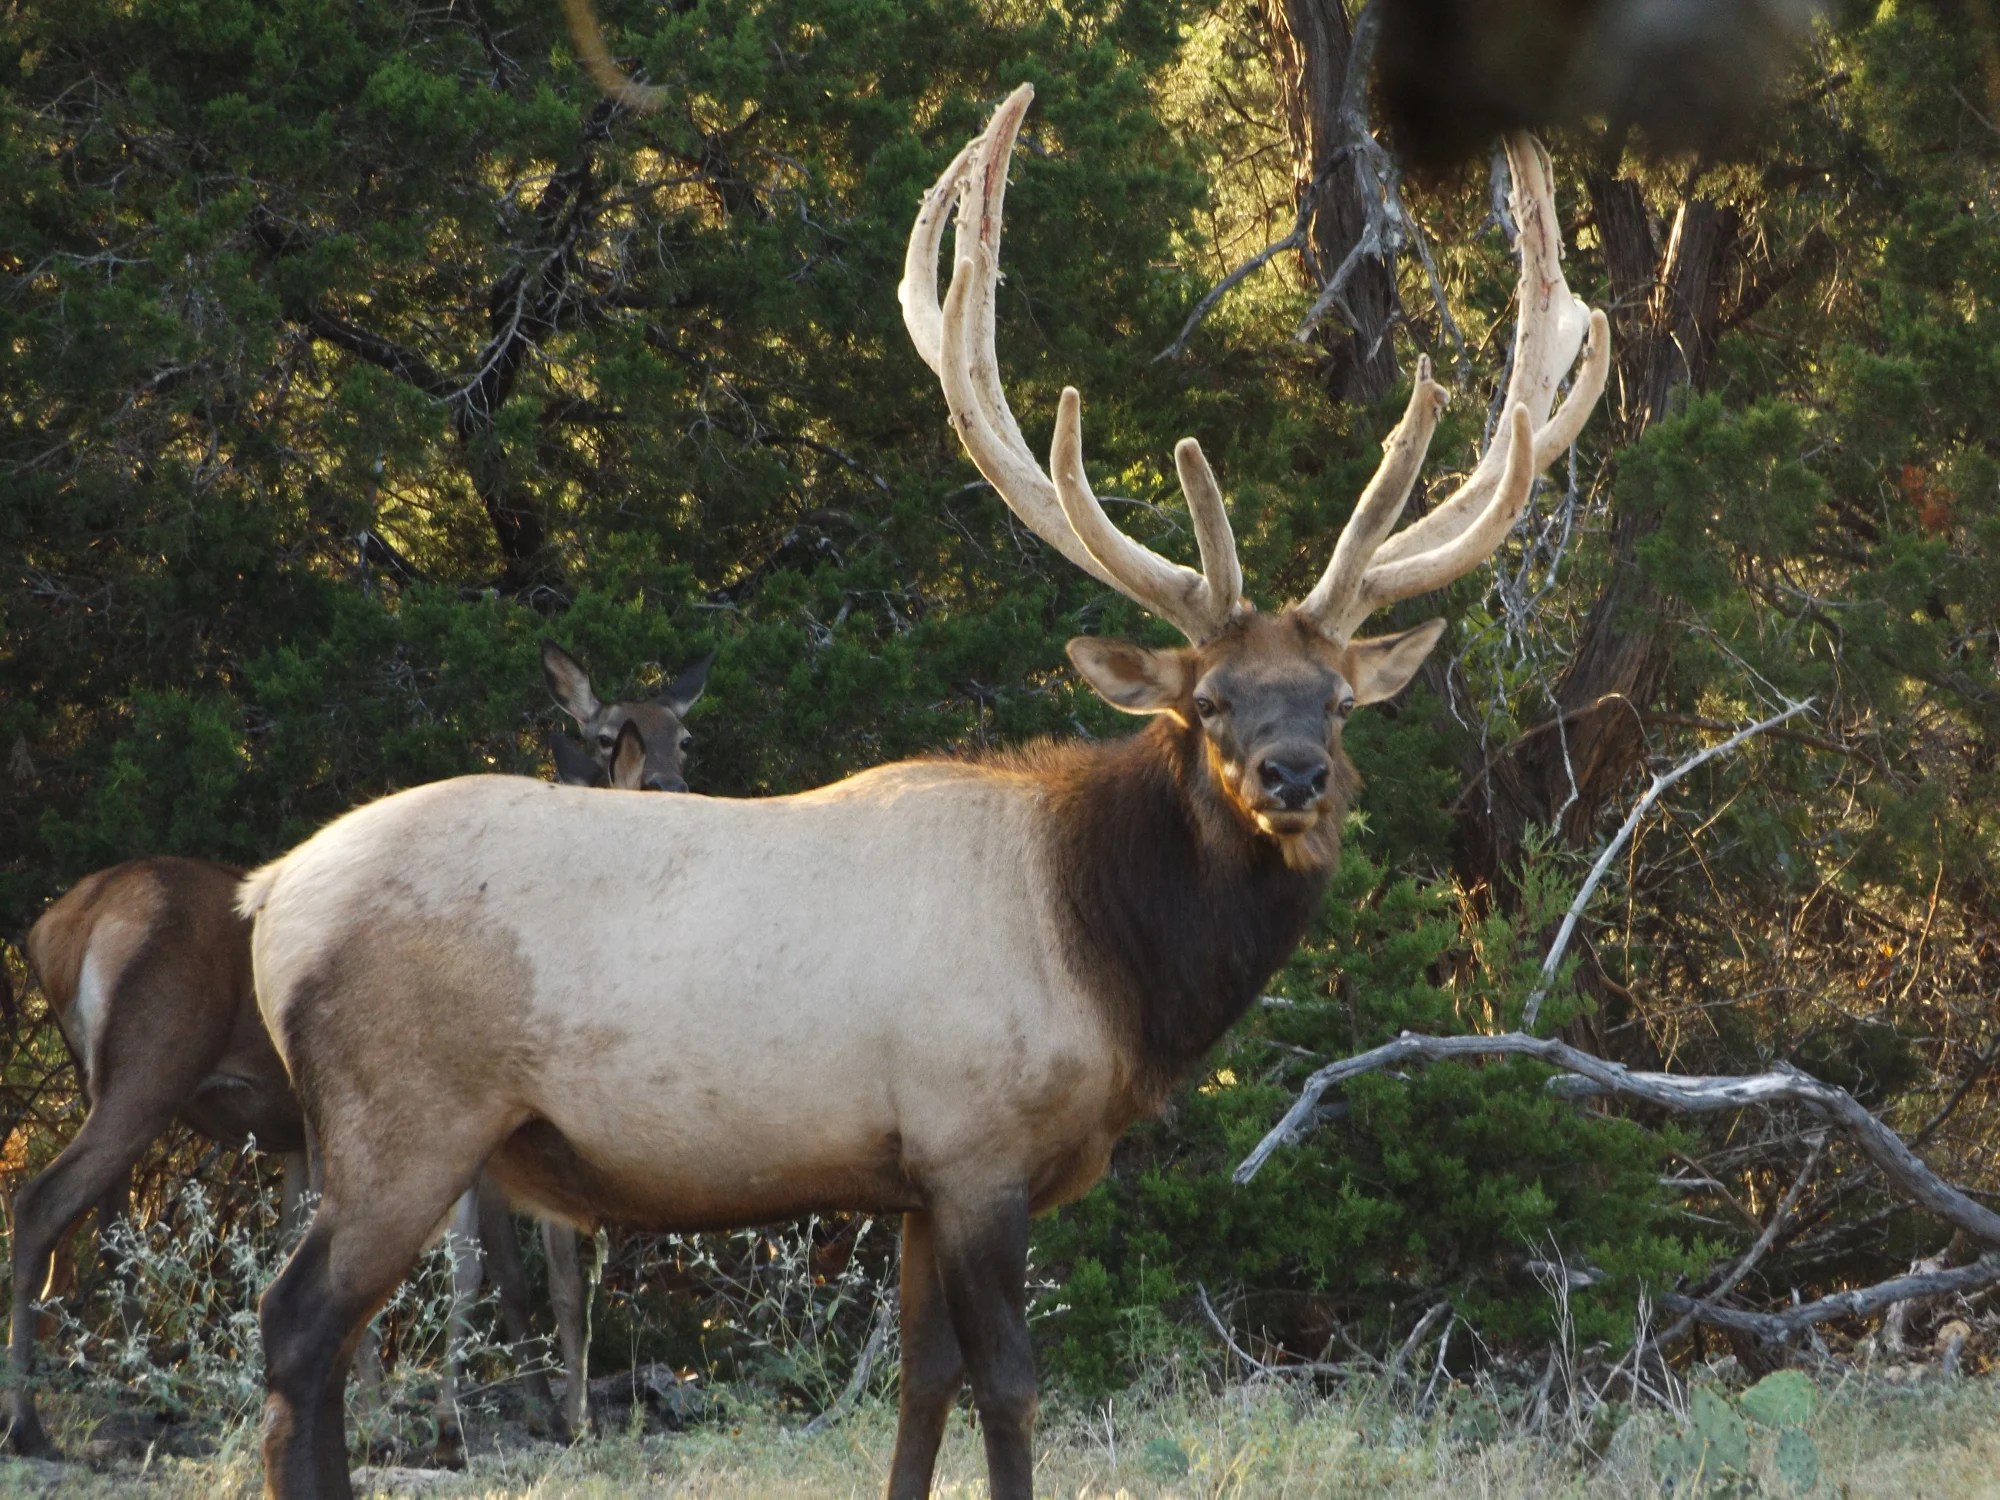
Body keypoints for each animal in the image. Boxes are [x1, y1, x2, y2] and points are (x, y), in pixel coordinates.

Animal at [238, 87, 1607, 1500]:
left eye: (1334, 698)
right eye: (1211, 699)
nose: (1293, 776)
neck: (1111, 962)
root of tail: (267, 895)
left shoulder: (907, 1182)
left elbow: (919, 1384)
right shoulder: (975, 1145)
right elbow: (1007, 1383)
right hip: (405, 1120)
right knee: (294, 1332)